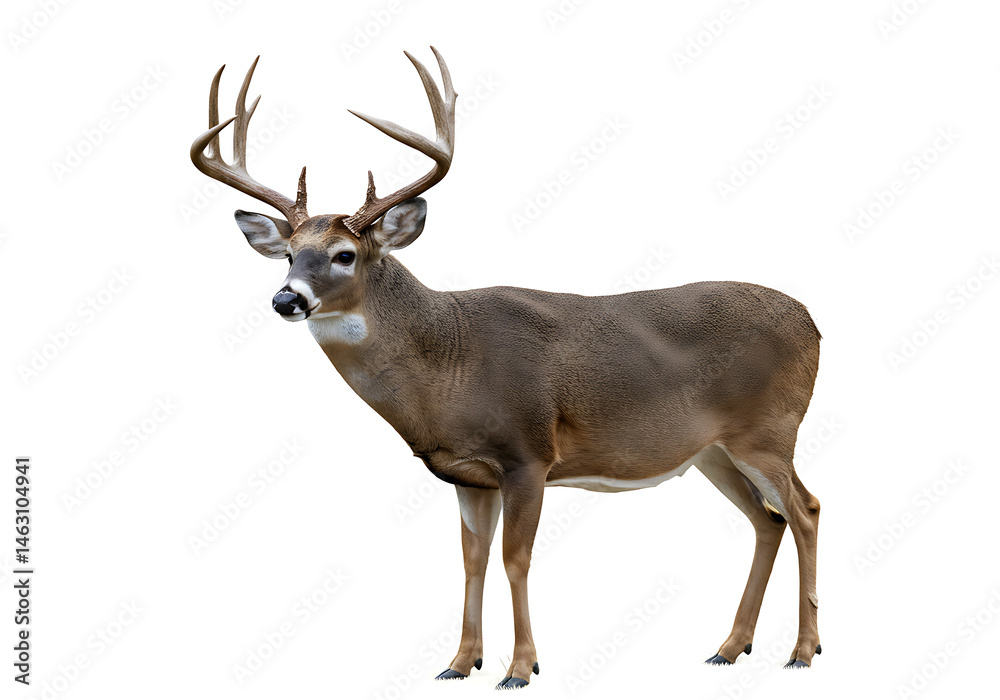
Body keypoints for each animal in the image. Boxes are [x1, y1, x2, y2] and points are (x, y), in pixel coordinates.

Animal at [190, 48, 822, 689]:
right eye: (290, 255)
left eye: (344, 255)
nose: (285, 299)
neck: (447, 367)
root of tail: (813, 320)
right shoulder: (468, 475)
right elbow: (472, 561)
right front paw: (458, 663)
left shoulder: (528, 454)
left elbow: (514, 559)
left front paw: (520, 667)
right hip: (713, 452)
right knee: (768, 519)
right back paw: (730, 647)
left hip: (769, 431)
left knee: (805, 510)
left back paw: (802, 650)